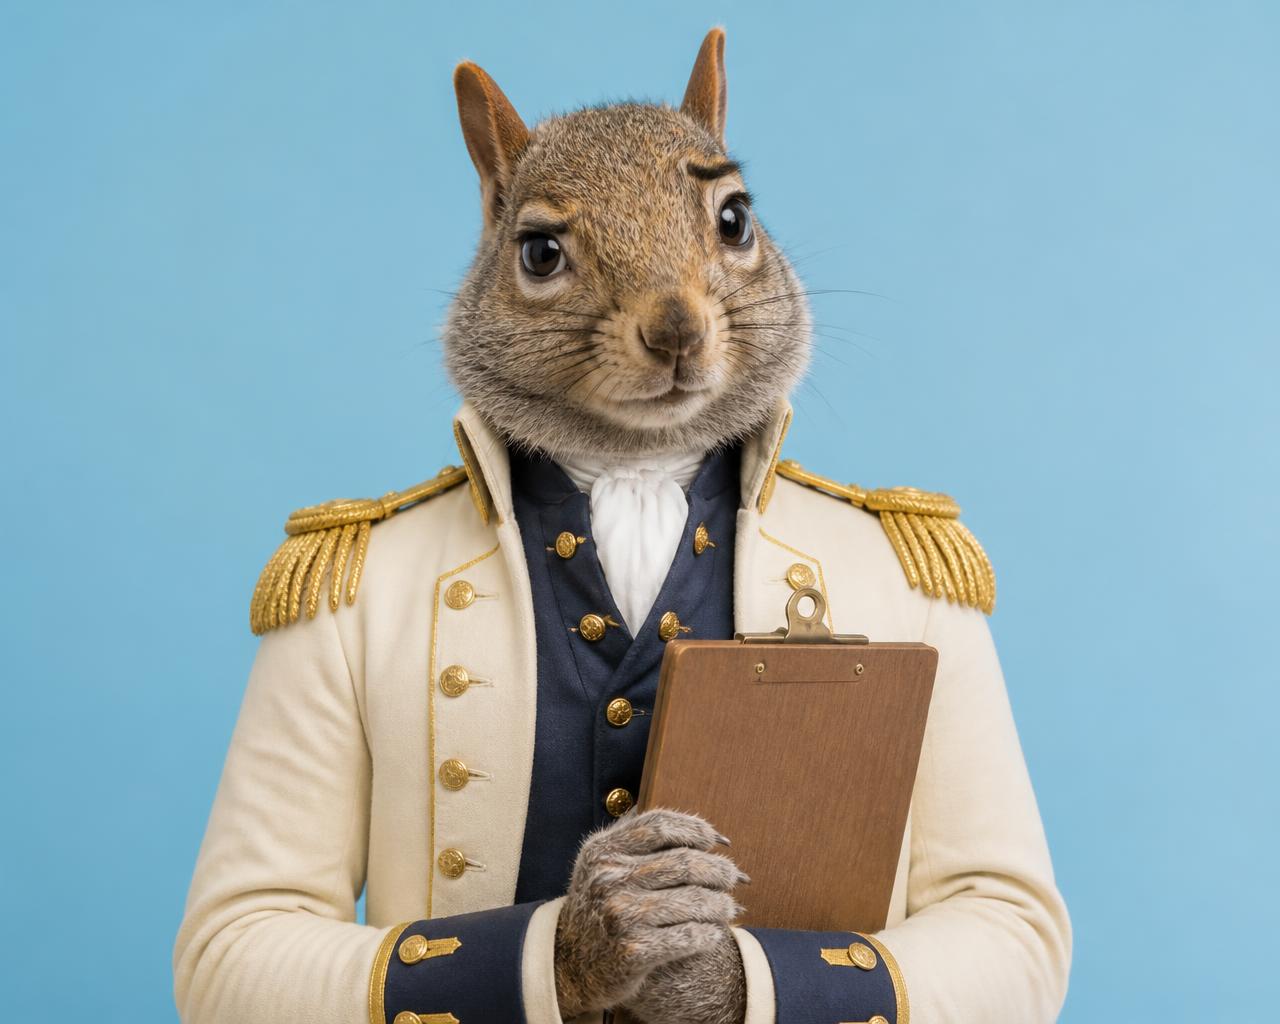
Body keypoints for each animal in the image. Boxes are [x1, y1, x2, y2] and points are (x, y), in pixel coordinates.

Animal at [444, 28, 795, 1024]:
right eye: (538, 252)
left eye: (735, 217)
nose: (676, 329)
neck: (638, 468)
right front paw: (609, 924)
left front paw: (705, 975)